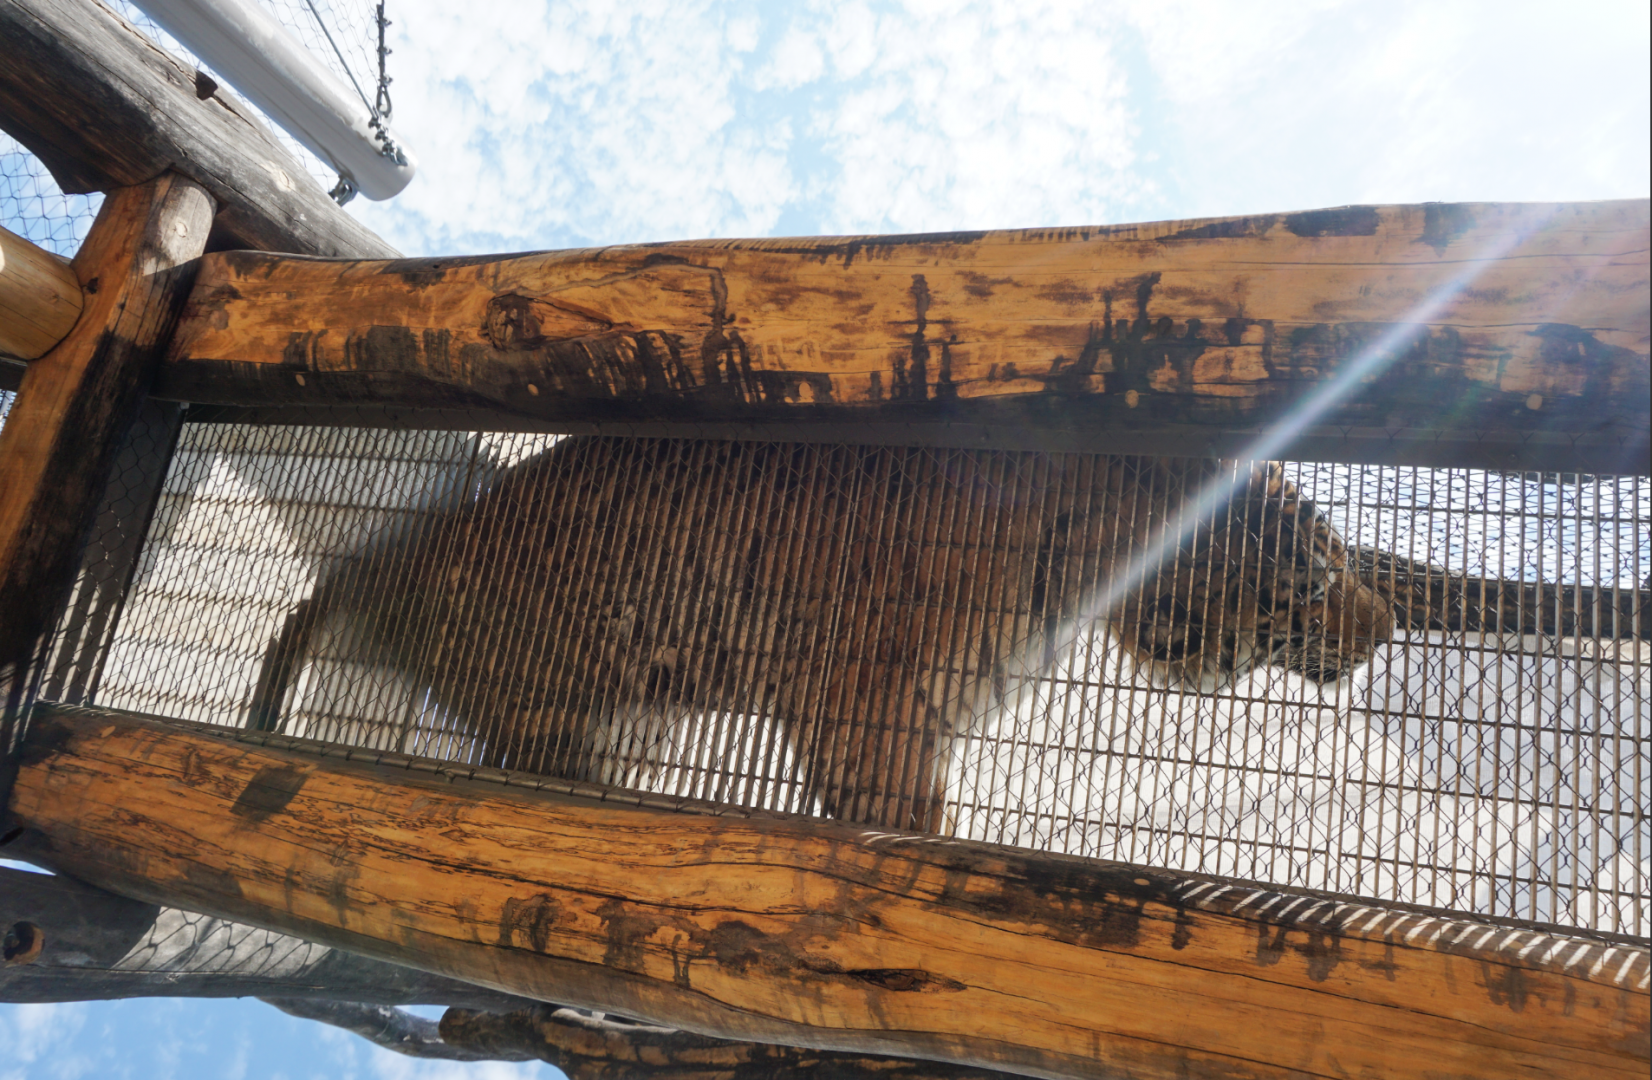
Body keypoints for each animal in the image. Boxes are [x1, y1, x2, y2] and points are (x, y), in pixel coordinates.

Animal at [248, 438, 1397, 832]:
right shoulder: (864, 702)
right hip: (554, 693)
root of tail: (404, 550)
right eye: (1314, 572)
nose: (1384, 628)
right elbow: (903, 827)